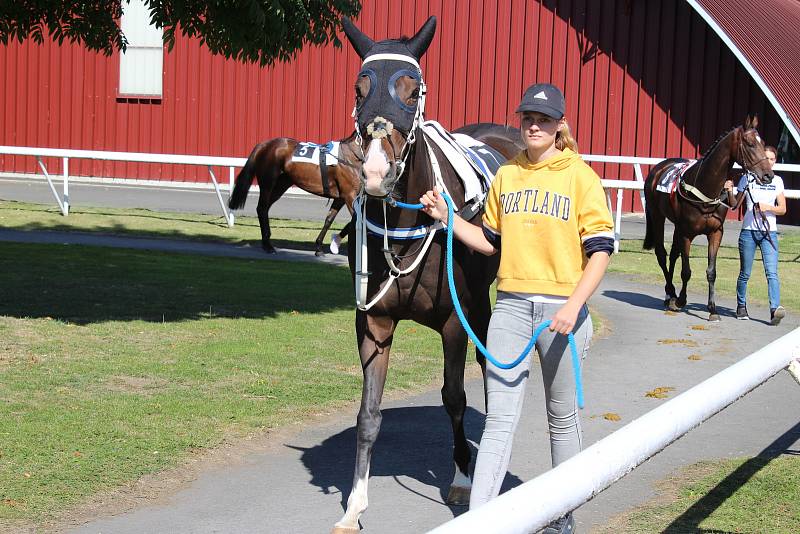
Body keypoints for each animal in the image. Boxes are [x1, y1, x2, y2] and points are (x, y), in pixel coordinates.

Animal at [227, 136, 360, 258]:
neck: (350, 156)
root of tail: (264, 145)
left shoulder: (341, 197)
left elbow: (329, 220)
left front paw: (322, 247)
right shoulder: (349, 195)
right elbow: (355, 220)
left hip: (282, 184)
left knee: (264, 208)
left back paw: (267, 242)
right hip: (268, 183)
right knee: (262, 208)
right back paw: (268, 246)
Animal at [640, 117, 772, 322]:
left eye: (763, 143)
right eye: (750, 144)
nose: (768, 175)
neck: (704, 188)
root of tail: (659, 168)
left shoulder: (715, 232)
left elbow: (711, 272)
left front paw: (712, 309)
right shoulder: (687, 234)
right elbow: (686, 271)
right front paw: (681, 301)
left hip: (677, 226)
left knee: (673, 254)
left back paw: (671, 295)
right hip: (657, 215)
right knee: (661, 253)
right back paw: (671, 294)